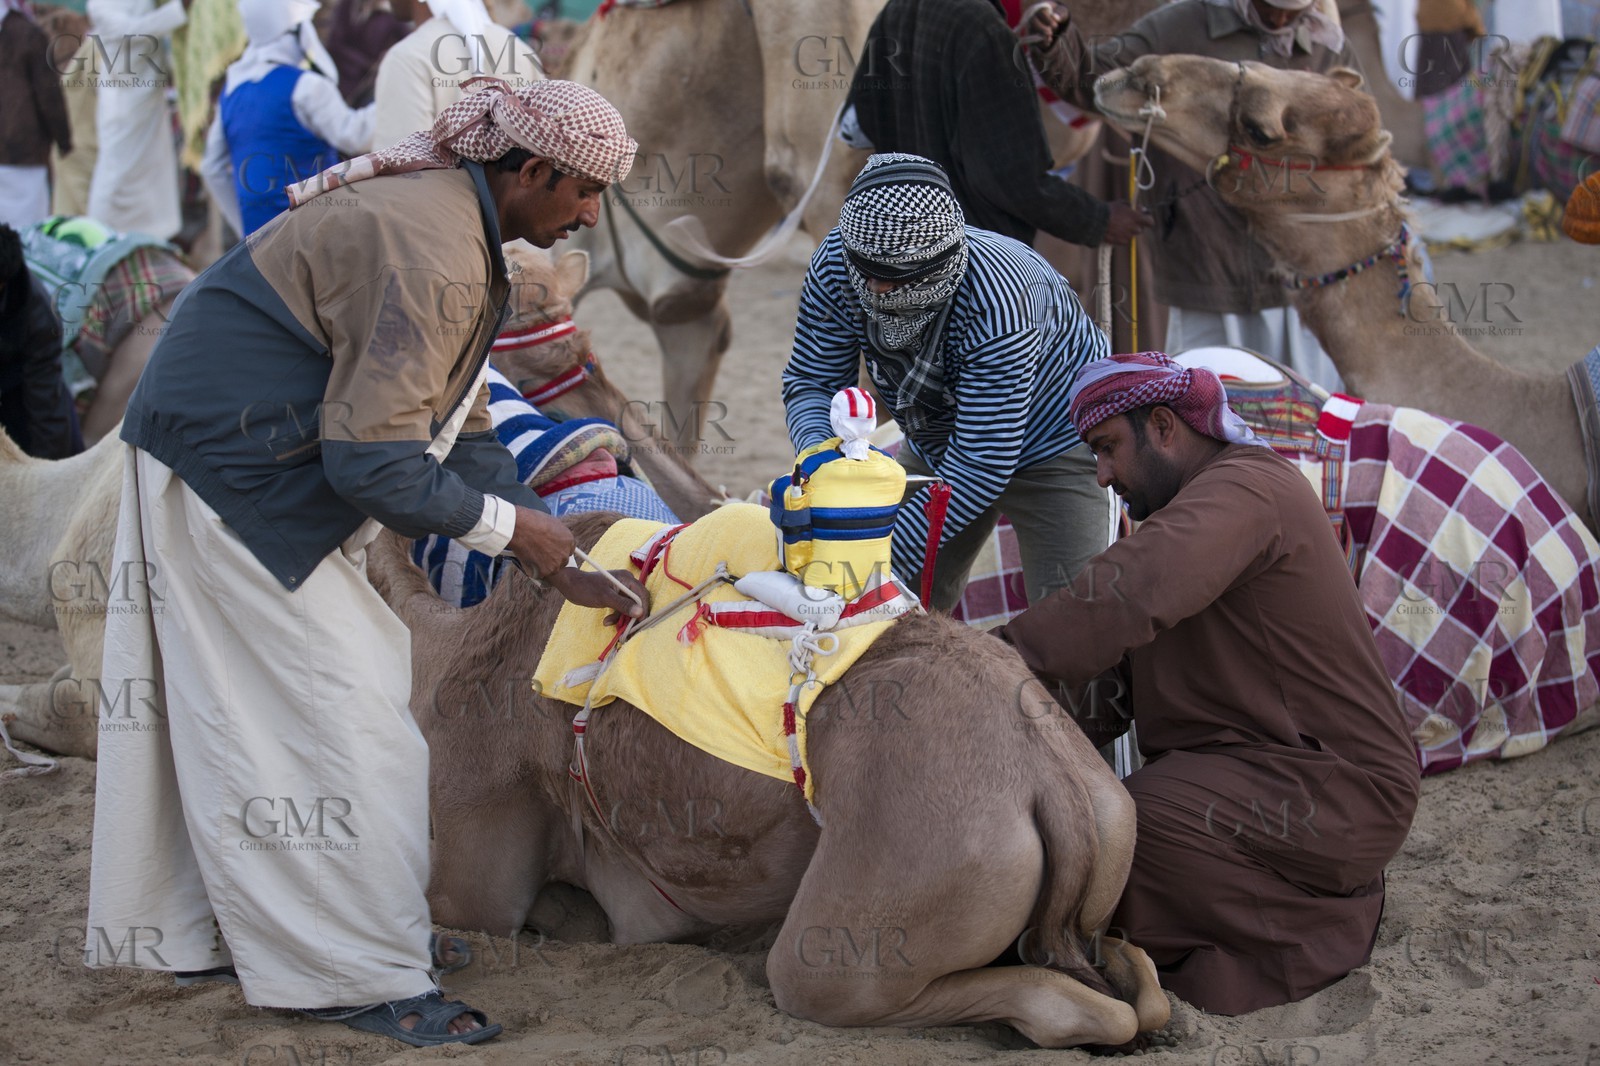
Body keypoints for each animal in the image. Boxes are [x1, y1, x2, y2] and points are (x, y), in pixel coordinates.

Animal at [365, 514, 1169, 1048]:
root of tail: (1054, 784)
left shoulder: (479, 813)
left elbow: (475, 906)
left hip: (890, 901)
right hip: (1109, 818)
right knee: (1127, 982)